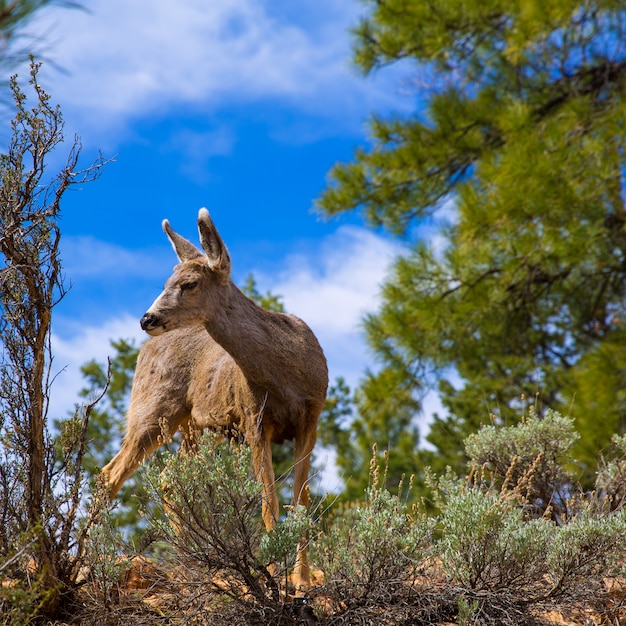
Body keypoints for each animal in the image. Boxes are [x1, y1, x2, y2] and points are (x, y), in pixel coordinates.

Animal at [100, 207, 326, 588]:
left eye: (189, 283)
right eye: (165, 282)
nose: (147, 318)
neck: (284, 376)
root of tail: (143, 351)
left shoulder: (310, 420)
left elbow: (301, 502)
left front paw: (303, 580)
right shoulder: (253, 420)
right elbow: (269, 504)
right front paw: (276, 578)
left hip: (195, 427)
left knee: (168, 478)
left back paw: (192, 563)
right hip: (153, 408)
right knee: (110, 474)